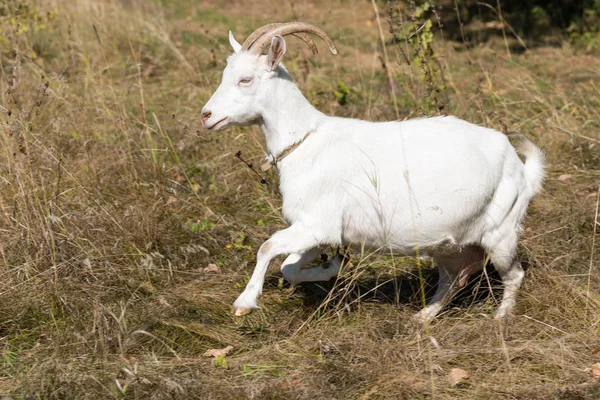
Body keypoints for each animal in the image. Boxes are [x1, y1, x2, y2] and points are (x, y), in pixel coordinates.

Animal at [200, 22, 544, 322]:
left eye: (246, 79)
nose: (206, 115)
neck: (306, 141)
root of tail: (521, 168)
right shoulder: (319, 232)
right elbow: (289, 268)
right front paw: (333, 266)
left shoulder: (317, 224)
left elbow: (267, 247)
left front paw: (244, 303)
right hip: (449, 242)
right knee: (455, 275)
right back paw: (423, 317)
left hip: (501, 230)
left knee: (513, 274)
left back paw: (500, 319)